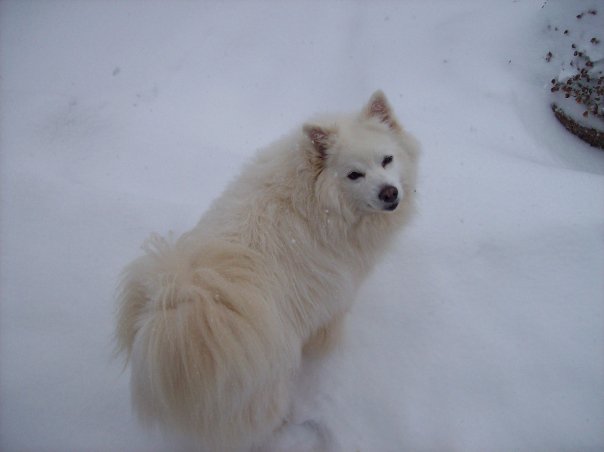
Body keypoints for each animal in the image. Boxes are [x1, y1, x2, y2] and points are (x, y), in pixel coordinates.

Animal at [117, 90, 420, 450]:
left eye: (387, 159)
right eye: (354, 174)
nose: (389, 193)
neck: (314, 200)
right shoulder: (335, 297)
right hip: (267, 393)